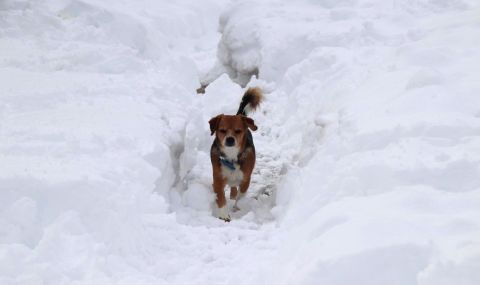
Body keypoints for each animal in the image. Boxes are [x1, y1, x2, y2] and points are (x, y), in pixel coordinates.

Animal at [209, 87, 262, 221]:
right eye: (222, 130)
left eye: (238, 131)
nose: (230, 139)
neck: (232, 156)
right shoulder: (218, 178)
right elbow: (221, 198)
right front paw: (223, 215)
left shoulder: (245, 179)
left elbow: (241, 195)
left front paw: (237, 207)